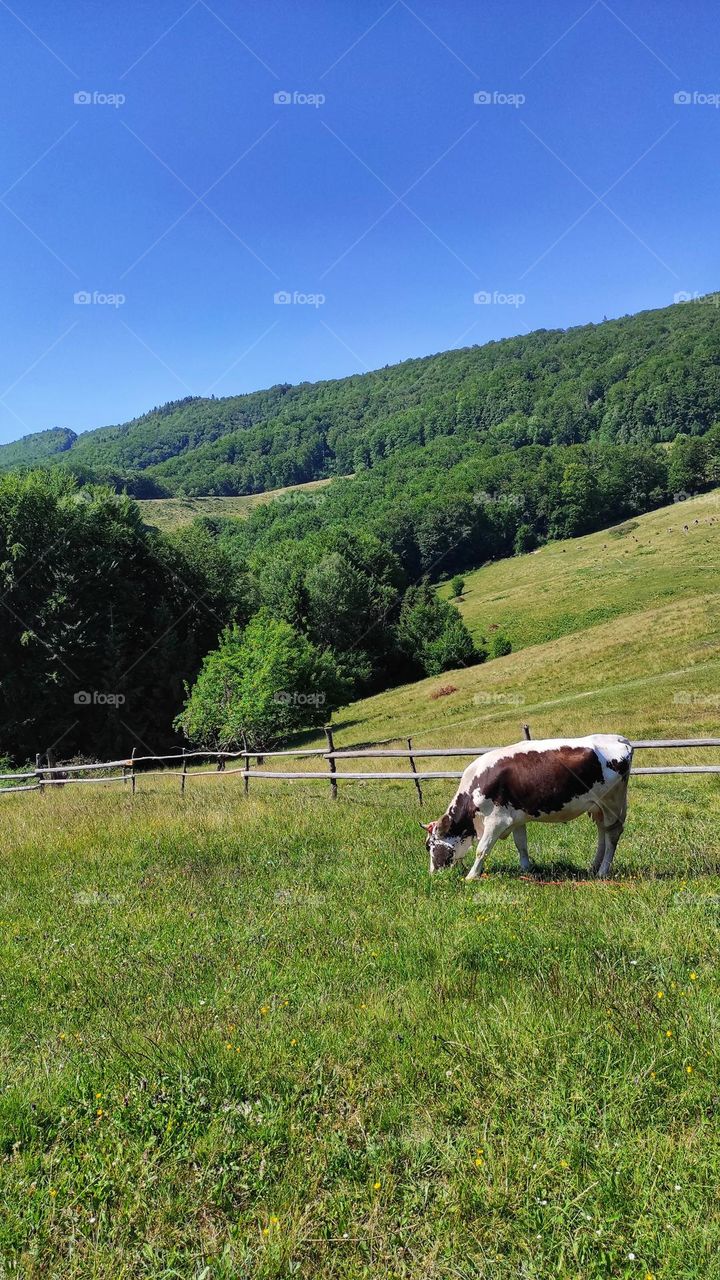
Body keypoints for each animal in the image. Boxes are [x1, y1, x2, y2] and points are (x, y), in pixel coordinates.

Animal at [421, 734, 633, 880]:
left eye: (429, 845)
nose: (432, 874)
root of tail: (619, 738)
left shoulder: (496, 820)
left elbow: (482, 849)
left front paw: (471, 876)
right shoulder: (516, 818)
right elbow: (521, 845)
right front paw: (526, 870)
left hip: (612, 802)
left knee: (612, 834)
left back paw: (602, 871)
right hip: (597, 807)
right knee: (602, 832)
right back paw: (593, 867)